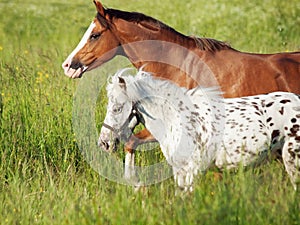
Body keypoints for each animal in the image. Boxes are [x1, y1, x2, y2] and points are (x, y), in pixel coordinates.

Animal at [100, 69, 300, 191]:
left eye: (117, 108)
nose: (104, 142)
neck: (176, 119)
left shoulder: (191, 171)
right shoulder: (179, 171)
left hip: (292, 161)